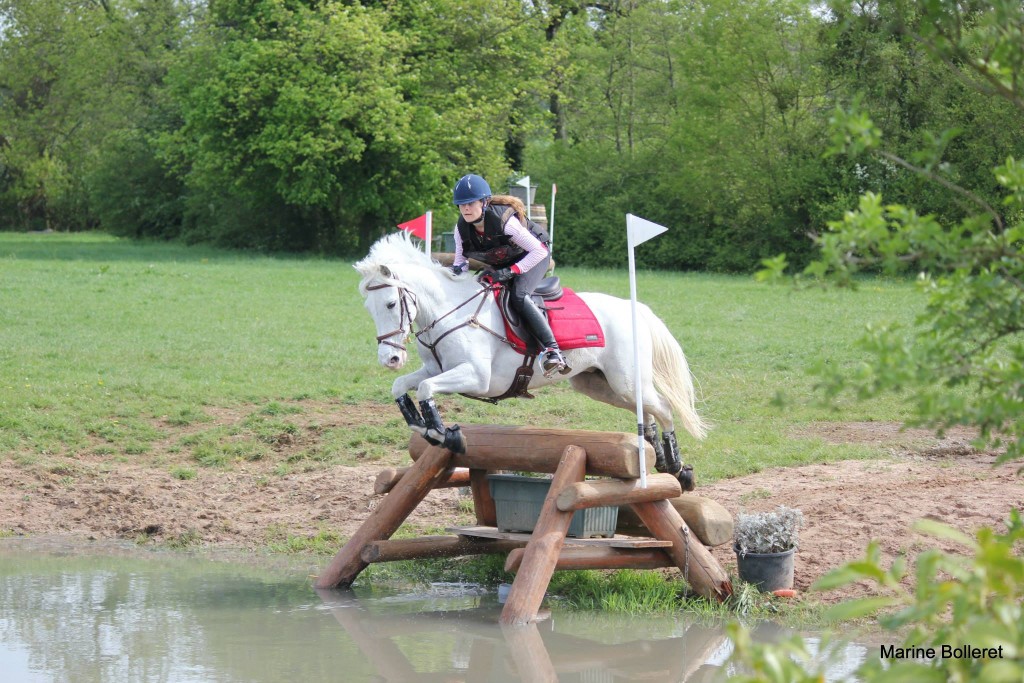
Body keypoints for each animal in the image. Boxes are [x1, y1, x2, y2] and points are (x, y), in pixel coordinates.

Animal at [352, 233, 704, 485]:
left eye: (389, 304)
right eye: (368, 308)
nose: (390, 358)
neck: (450, 312)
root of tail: (636, 309)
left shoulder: (478, 377)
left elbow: (426, 389)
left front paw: (448, 436)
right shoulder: (434, 368)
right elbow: (403, 386)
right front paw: (422, 425)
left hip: (626, 380)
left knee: (663, 408)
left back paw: (678, 468)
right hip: (599, 385)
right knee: (647, 412)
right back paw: (659, 458)